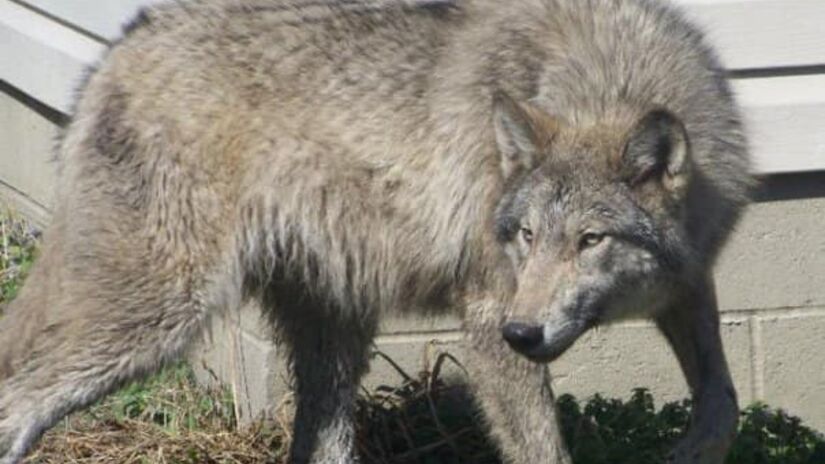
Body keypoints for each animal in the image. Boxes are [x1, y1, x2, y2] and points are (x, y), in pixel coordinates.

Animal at [0, 0, 752, 462]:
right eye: (526, 237)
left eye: (590, 241)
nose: (524, 332)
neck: (603, 79)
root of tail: (120, 44)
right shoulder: (487, 317)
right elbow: (543, 448)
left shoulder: (688, 285)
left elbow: (724, 400)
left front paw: (690, 451)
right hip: (156, 322)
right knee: (16, 403)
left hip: (335, 335)